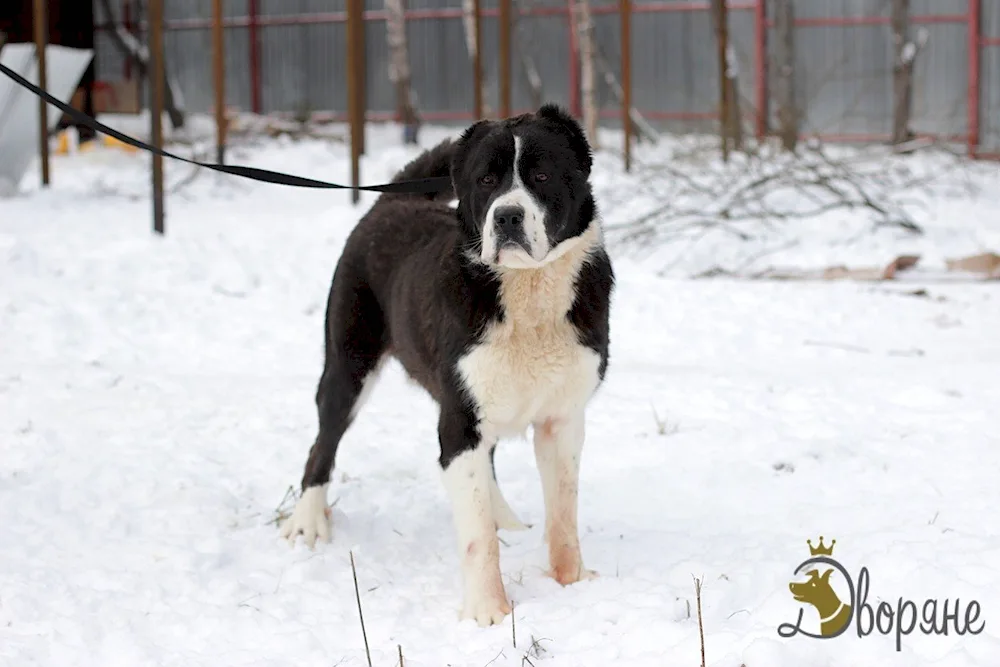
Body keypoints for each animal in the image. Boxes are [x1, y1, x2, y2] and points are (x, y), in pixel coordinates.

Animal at [278, 103, 612, 628]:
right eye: (486, 180)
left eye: (540, 175)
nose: (508, 215)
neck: (527, 293)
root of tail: (387, 204)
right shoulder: (458, 419)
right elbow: (476, 537)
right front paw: (488, 613)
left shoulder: (562, 419)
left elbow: (563, 512)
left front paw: (571, 582)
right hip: (348, 368)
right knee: (323, 443)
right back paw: (308, 522)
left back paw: (506, 519)